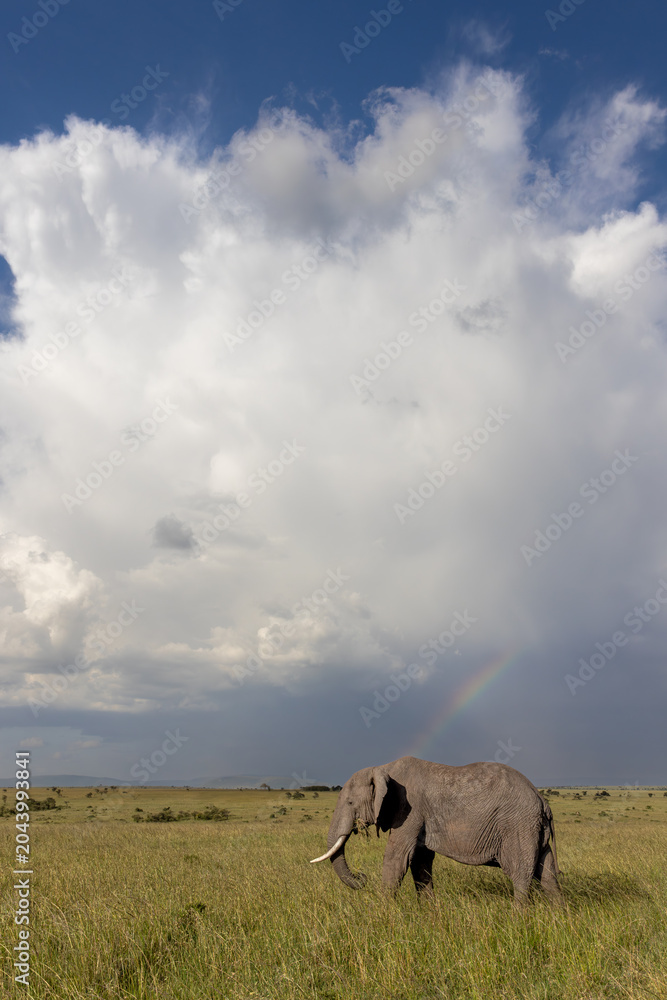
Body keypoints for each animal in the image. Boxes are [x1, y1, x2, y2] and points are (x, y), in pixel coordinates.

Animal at [310, 756, 560, 905]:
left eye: (350, 803)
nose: (361, 876)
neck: (382, 768)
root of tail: (542, 801)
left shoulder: (409, 809)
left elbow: (397, 858)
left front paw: (383, 912)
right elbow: (419, 861)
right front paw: (429, 912)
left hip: (517, 825)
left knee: (520, 873)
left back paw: (518, 917)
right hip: (533, 829)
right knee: (547, 873)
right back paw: (558, 915)